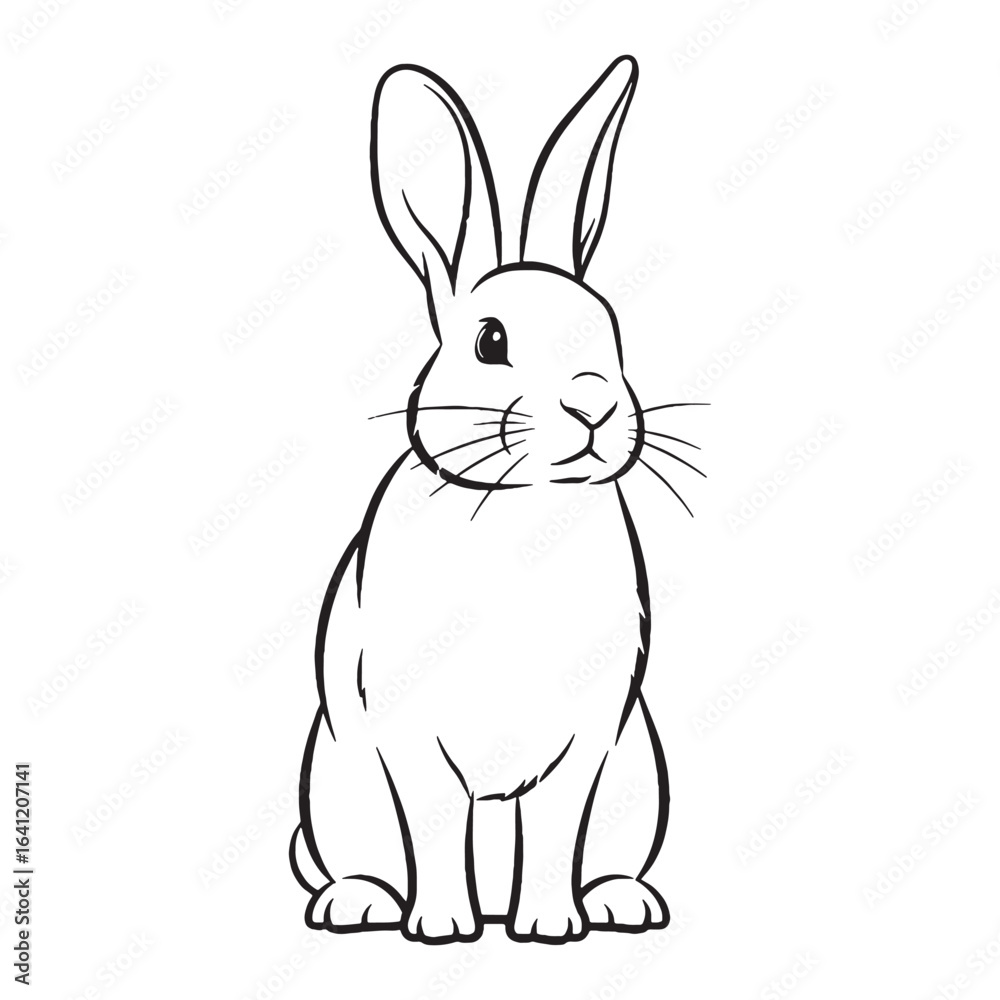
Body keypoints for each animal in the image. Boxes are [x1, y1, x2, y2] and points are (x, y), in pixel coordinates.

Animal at [291, 55, 696, 944]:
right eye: (491, 342)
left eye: (611, 335)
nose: (594, 405)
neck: (521, 504)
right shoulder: (412, 735)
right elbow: (435, 825)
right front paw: (441, 927)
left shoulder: (587, 741)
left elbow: (554, 831)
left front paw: (550, 926)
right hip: (339, 781)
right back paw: (362, 902)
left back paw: (616, 900)